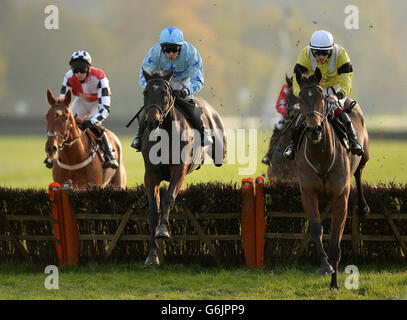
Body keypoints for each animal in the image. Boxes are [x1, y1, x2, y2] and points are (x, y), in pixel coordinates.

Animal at [140, 69, 228, 264]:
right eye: (145, 92)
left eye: (165, 93)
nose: (151, 122)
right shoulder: (150, 174)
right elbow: (153, 210)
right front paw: (152, 255)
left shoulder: (179, 171)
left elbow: (169, 198)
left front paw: (163, 230)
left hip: (220, 150)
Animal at [294, 68, 372, 290]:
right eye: (301, 98)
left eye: (321, 96)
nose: (314, 129)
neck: (322, 156)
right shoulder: (308, 192)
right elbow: (316, 228)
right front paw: (324, 266)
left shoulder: (340, 197)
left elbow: (336, 240)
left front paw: (334, 283)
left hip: (365, 154)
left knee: (359, 171)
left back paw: (363, 206)